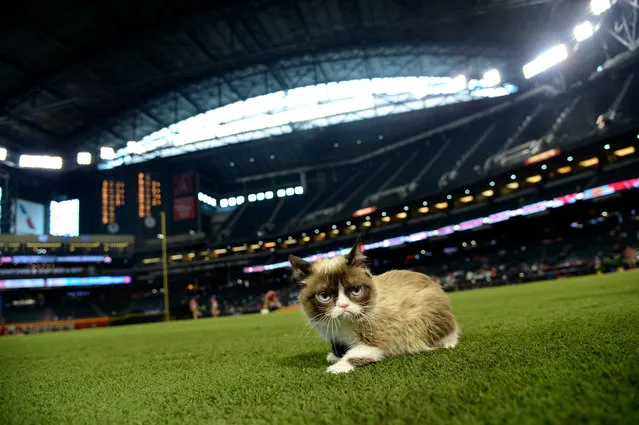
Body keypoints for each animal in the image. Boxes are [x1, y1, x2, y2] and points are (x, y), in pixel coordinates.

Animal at [290, 237, 460, 372]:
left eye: (356, 290)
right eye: (324, 296)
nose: (344, 306)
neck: (344, 325)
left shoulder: (382, 337)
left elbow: (354, 354)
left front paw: (336, 368)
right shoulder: (334, 333)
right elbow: (339, 347)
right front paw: (334, 356)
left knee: (451, 332)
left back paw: (448, 344)